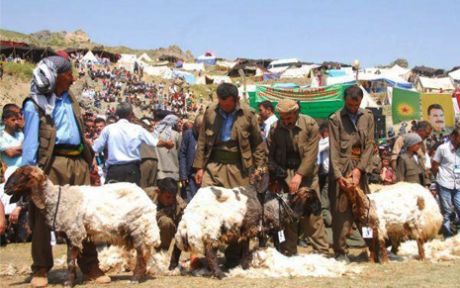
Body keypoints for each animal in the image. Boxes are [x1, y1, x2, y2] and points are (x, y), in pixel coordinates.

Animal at [4, 166, 160, 286]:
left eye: (23, 174)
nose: (5, 188)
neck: (54, 199)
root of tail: (147, 200)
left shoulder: (74, 232)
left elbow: (70, 261)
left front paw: (69, 283)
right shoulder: (69, 234)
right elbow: (70, 259)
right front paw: (71, 280)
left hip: (139, 227)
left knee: (142, 255)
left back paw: (135, 279)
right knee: (145, 253)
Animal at [172, 180, 320, 280]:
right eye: (313, 199)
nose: (320, 210)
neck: (280, 205)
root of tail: (191, 208)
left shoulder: (247, 231)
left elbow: (245, 250)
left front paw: (244, 266)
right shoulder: (265, 231)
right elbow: (264, 247)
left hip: (183, 232)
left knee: (176, 247)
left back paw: (172, 268)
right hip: (211, 233)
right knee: (210, 253)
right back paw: (220, 274)